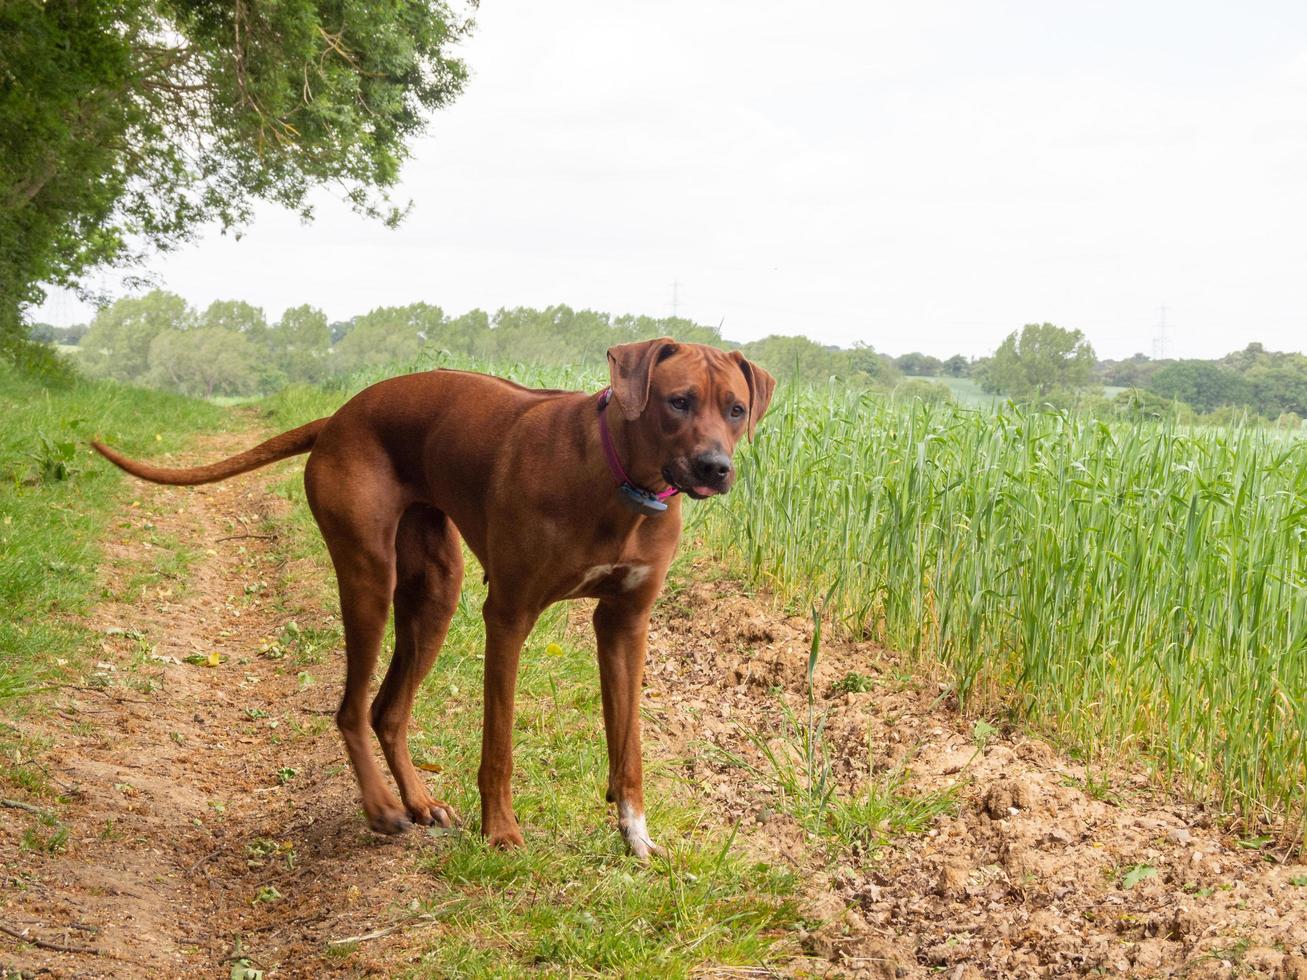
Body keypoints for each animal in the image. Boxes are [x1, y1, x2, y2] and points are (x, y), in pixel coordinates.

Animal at [99, 339, 773, 857]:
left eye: (736, 409)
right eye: (678, 401)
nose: (715, 468)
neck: (620, 484)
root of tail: (339, 416)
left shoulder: (627, 623)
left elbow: (628, 746)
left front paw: (636, 838)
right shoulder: (508, 616)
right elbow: (498, 744)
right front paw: (501, 832)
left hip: (435, 593)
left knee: (387, 710)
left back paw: (419, 801)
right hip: (369, 576)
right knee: (351, 708)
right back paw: (381, 807)